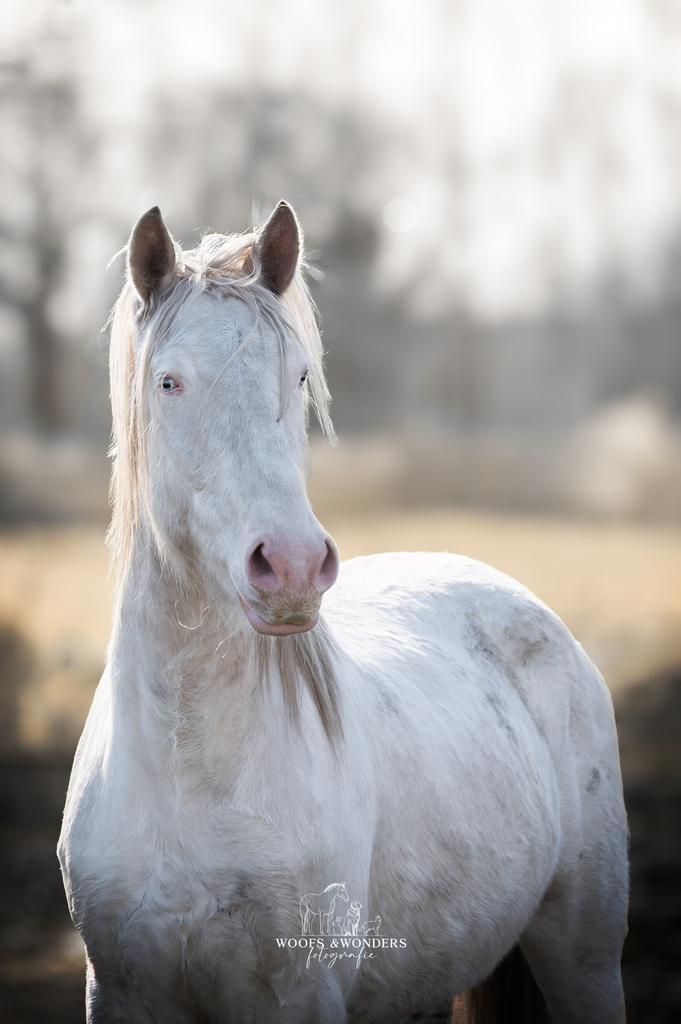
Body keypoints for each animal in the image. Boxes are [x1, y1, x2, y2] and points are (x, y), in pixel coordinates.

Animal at [58, 200, 628, 1023]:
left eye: (299, 376)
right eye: (168, 382)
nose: (293, 565)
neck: (190, 776)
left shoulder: (303, 992)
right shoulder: (122, 991)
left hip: (583, 954)